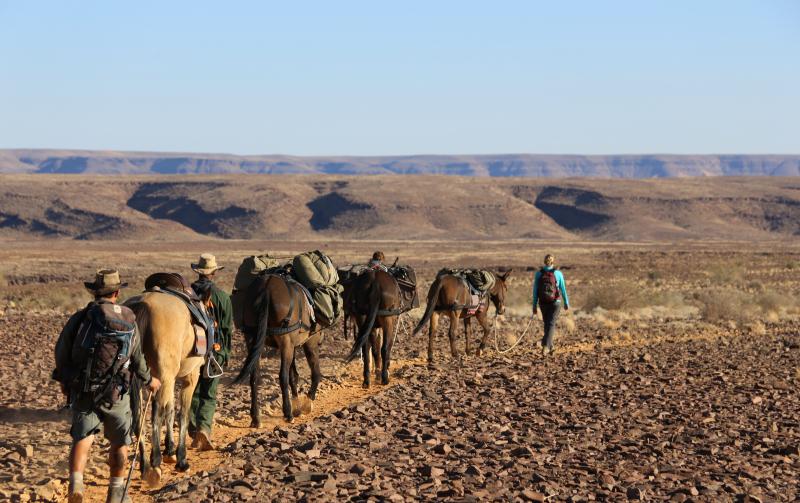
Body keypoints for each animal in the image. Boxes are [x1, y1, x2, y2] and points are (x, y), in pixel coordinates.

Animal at [127, 292, 204, 486]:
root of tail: (143, 303)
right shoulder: (190, 377)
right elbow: (182, 414)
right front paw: (181, 459)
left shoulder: (169, 379)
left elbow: (170, 409)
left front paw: (170, 449)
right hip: (163, 377)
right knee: (156, 415)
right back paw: (155, 462)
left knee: (139, 417)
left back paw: (145, 466)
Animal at [233, 273, 322, 424]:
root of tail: (266, 288)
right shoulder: (308, 341)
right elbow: (314, 372)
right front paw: (307, 402)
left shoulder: (292, 346)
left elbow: (294, 375)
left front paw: (297, 405)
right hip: (286, 342)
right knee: (282, 376)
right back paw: (288, 413)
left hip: (253, 340)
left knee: (254, 376)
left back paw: (256, 417)